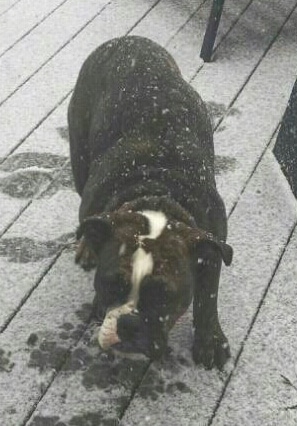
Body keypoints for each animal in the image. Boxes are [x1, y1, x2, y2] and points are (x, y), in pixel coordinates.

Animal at [68, 35, 232, 370]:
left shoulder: (212, 246)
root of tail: (126, 40)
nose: (130, 324)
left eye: (164, 296)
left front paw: (210, 340)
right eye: (110, 285)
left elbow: (208, 296)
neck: (158, 195)